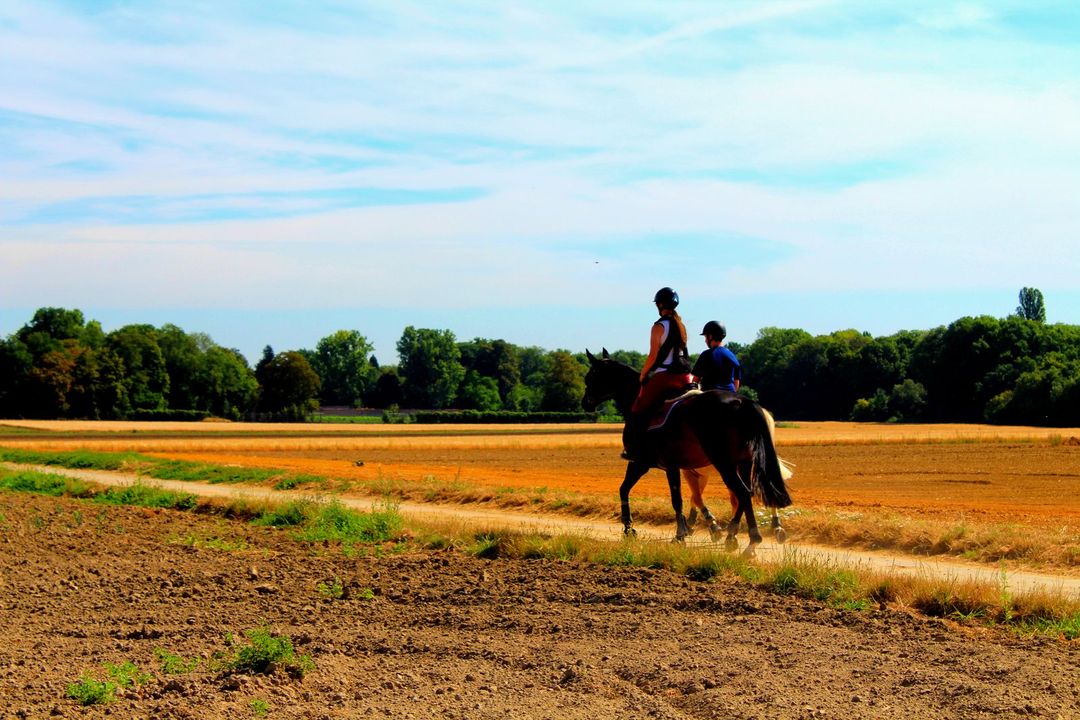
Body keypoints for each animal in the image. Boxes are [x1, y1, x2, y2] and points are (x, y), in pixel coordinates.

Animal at [583, 349, 794, 552]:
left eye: (591, 376)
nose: (585, 401)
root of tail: (744, 403)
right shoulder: (679, 468)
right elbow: (689, 498)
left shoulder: (649, 464)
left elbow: (673, 498)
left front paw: (671, 533)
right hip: (744, 463)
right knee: (749, 493)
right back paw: (747, 535)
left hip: (724, 463)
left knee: (742, 493)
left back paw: (747, 538)